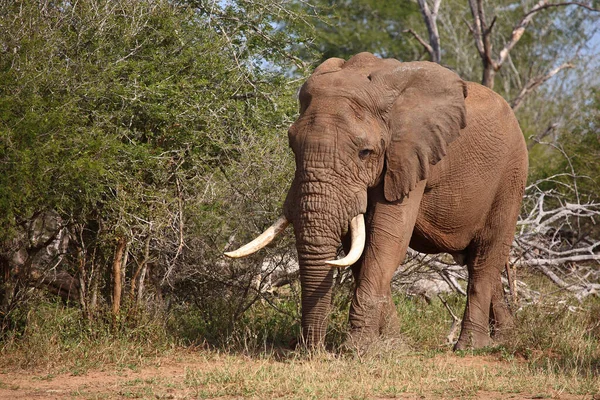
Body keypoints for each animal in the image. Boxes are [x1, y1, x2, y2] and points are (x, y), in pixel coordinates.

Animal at [224, 52, 524, 350]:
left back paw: (471, 346)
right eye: (292, 146)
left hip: (510, 177)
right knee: (483, 262)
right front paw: (392, 343)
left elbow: (386, 238)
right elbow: (358, 246)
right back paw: (504, 338)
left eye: (365, 152)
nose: (313, 351)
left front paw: (358, 348)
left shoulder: (409, 155)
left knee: (484, 259)